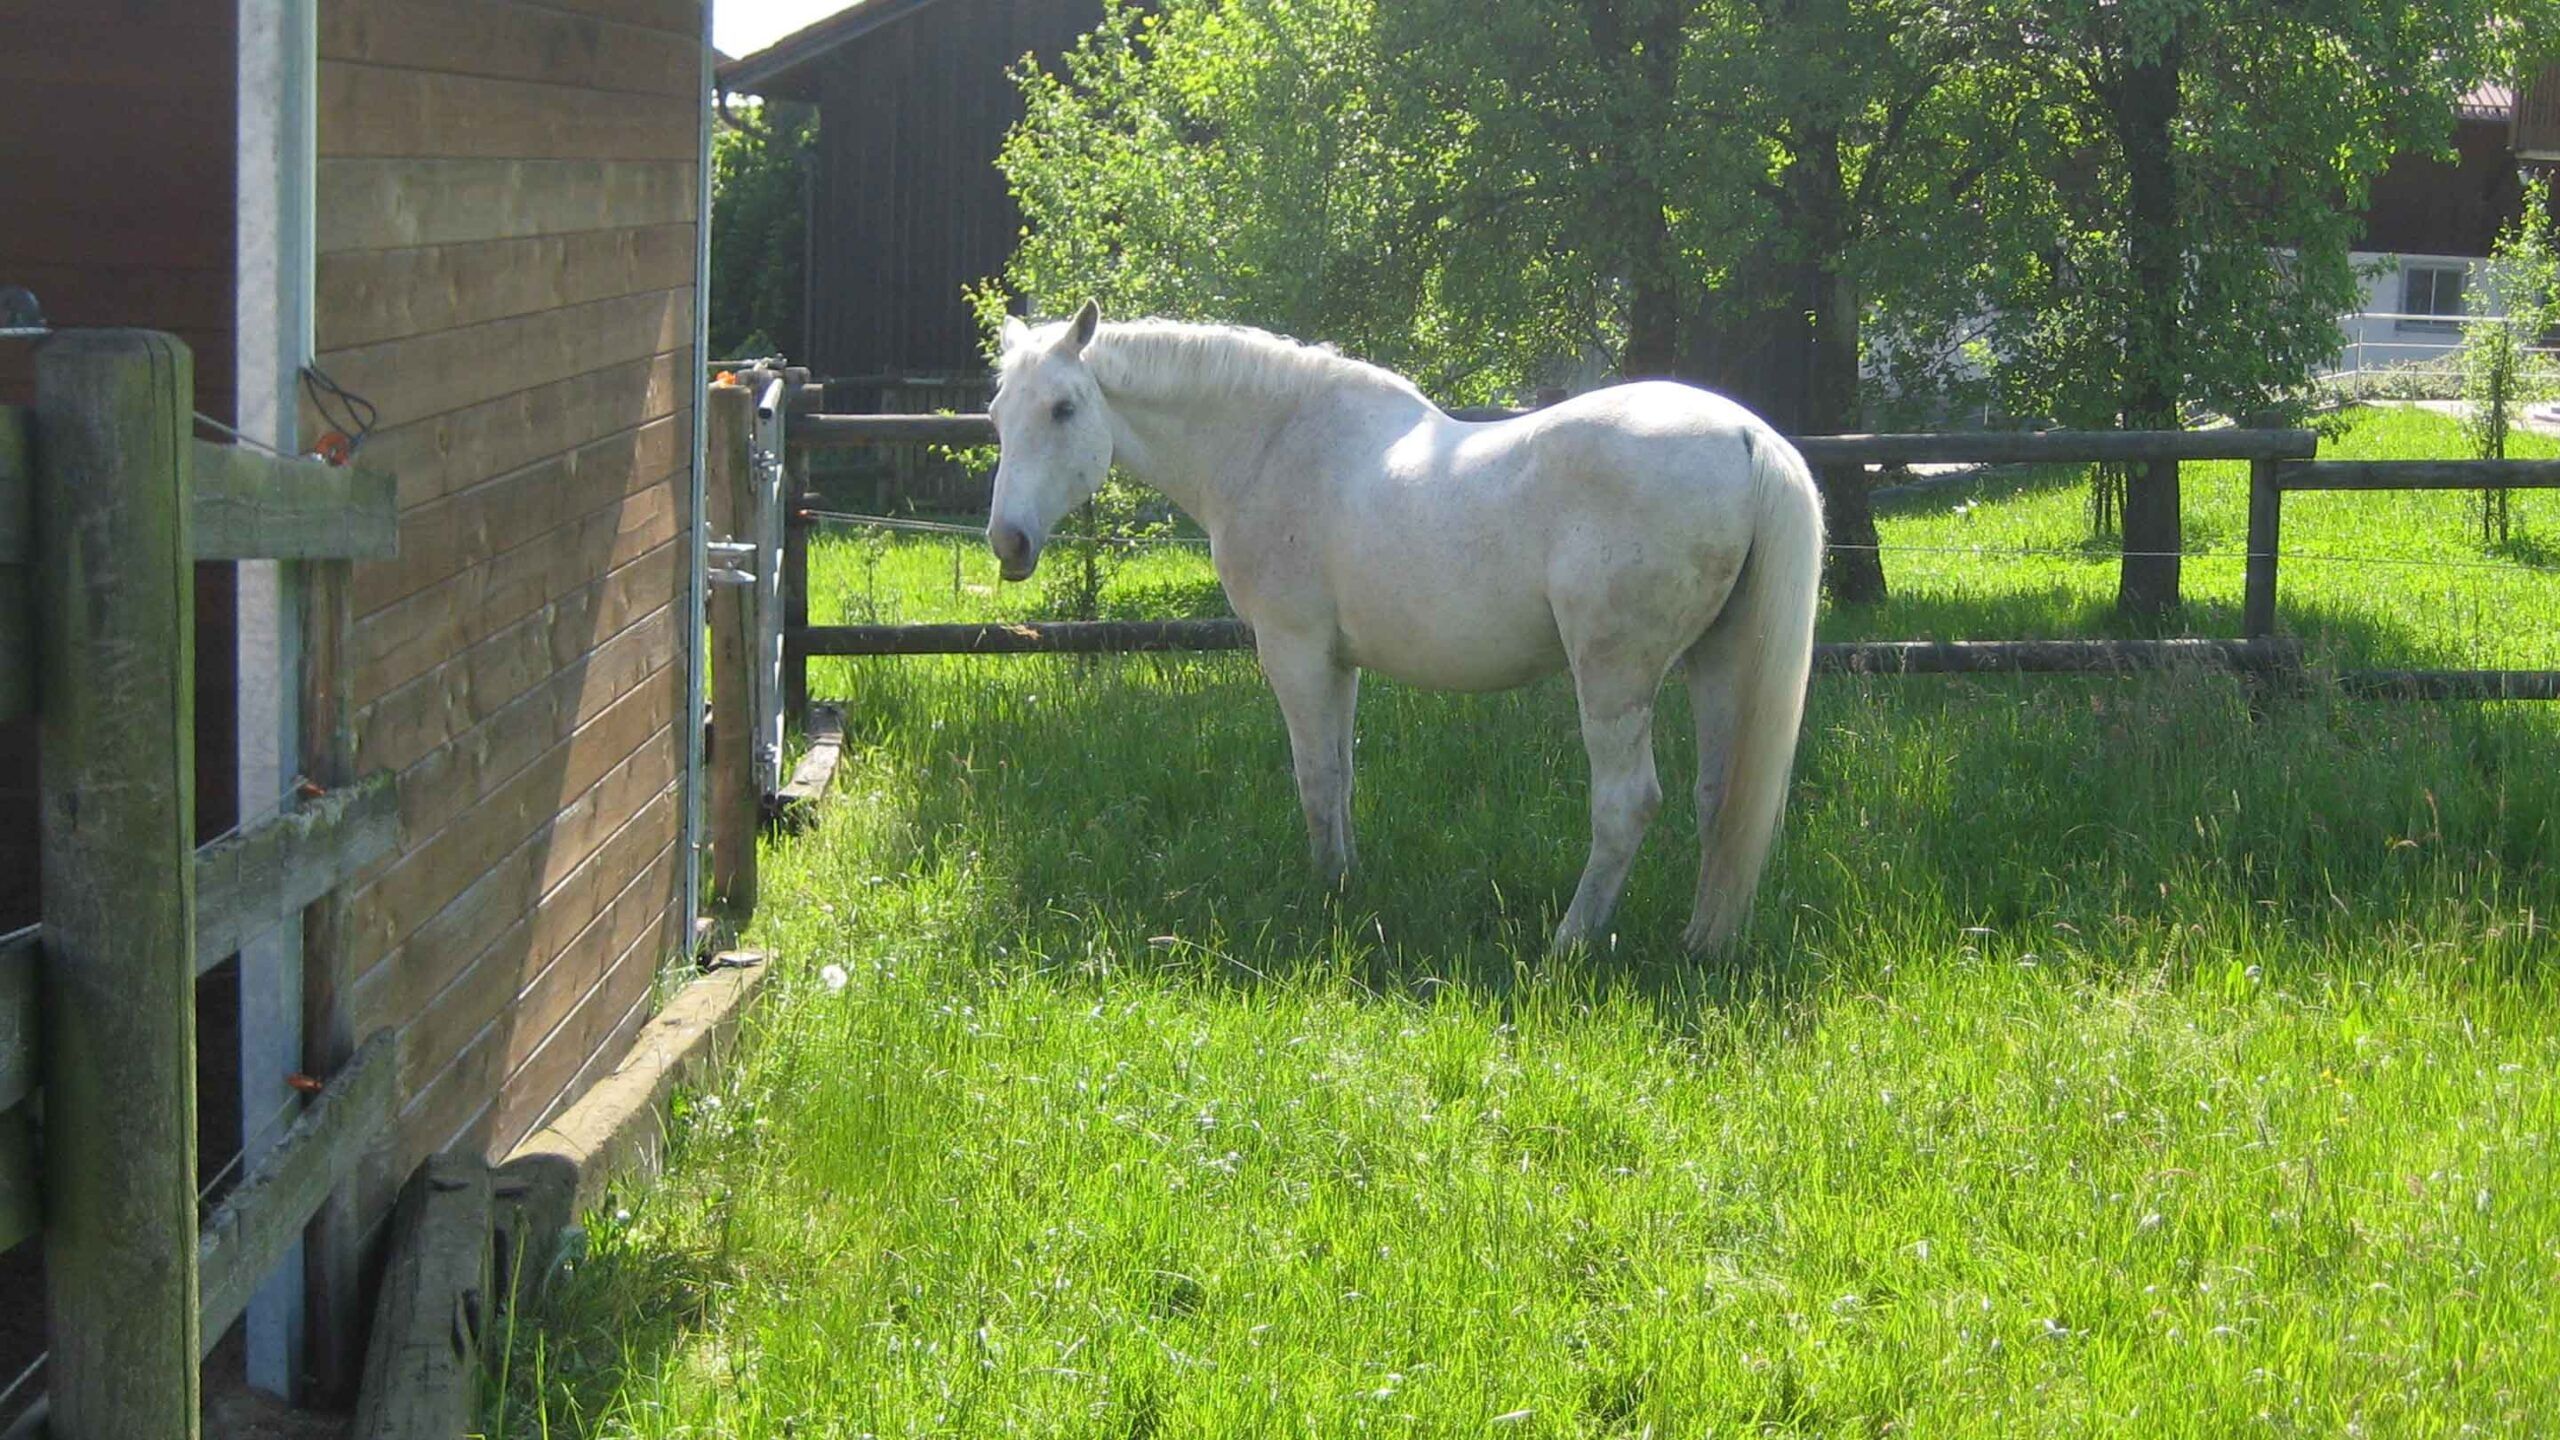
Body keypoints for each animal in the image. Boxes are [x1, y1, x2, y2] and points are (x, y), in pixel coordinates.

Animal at [984, 302, 1823, 953]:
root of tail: (1745, 437)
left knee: (1627, 803)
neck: (1273, 444)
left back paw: (1569, 944)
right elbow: (1343, 773)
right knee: (1720, 798)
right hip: (1716, 661)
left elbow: (1316, 779)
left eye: (1063, 408)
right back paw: (1704, 940)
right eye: (996, 415)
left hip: (1615, 674)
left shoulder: (1294, 652)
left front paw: (1327, 891)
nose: (1009, 542)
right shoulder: (1339, 662)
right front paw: (1348, 883)